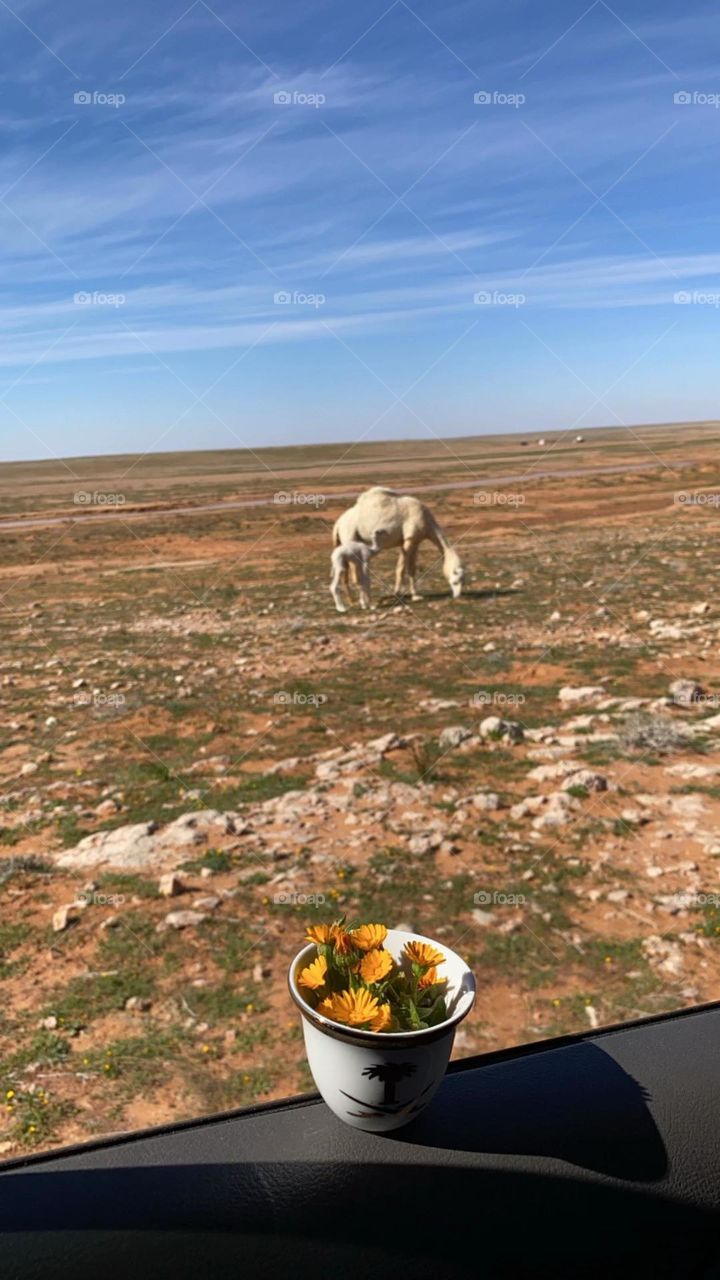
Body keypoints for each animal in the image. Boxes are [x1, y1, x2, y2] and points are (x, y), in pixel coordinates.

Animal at [333, 487, 465, 601]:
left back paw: (352, 600)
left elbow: (411, 568)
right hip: (349, 534)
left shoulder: (415, 541)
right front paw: (397, 593)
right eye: (455, 582)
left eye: (463, 581)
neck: (427, 522)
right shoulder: (409, 540)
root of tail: (338, 524)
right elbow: (401, 568)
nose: (457, 596)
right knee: (353, 570)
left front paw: (415, 595)